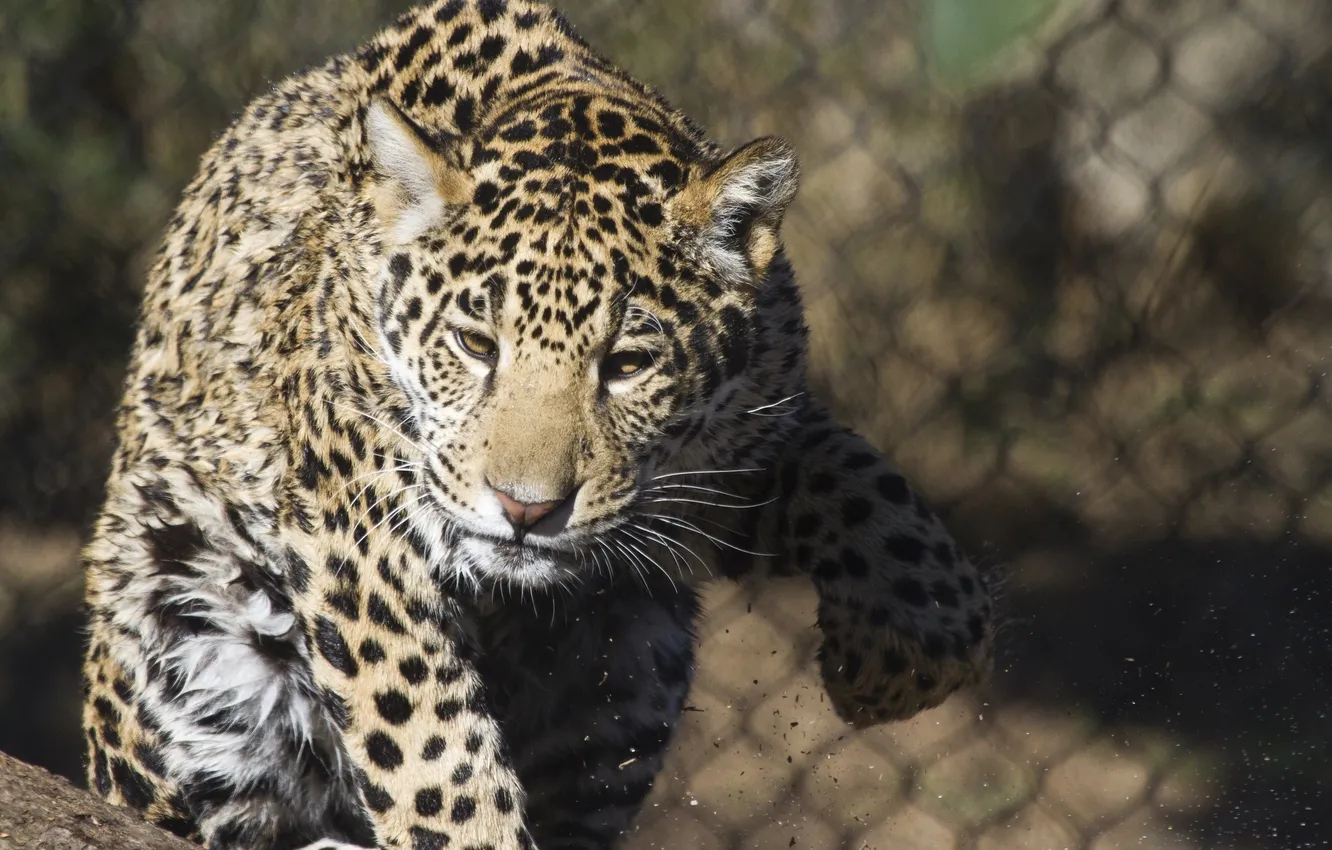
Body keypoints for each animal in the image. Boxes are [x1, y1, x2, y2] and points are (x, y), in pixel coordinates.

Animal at [79, 1, 996, 849]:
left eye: (626, 364)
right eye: (475, 344)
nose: (527, 510)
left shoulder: (743, 439)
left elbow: (872, 497)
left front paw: (892, 661)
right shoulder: (359, 532)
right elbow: (430, 747)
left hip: (631, 673)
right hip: (189, 648)